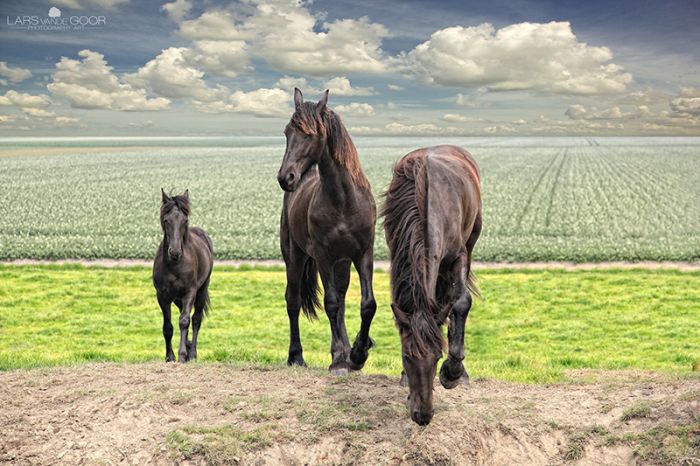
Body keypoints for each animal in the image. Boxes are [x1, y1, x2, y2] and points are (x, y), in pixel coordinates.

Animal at [154, 189, 215, 364]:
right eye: (166, 220)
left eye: (185, 220)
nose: (175, 252)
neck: (174, 265)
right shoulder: (162, 296)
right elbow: (168, 327)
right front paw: (169, 356)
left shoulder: (190, 292)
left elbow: (184, 321)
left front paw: (182, 355)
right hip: (177, 299)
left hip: (201, 291)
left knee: (195, 320)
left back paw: (192, 353)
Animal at [278, 89, 380, 376]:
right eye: (287, 132)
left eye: (310, 134)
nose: (285, 177)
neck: (343, 199)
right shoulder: (323, 256)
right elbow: (330, 303)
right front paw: (339, 360)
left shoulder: (363, 254)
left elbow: (366, 304)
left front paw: (358, 354)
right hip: (295, 256)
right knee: (293, 301)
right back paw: (297, 356)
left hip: (342, 263)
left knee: (343, 301)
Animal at [382, 146, 482, 426]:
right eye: (406, 356)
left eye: (437, 357)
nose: (423, 415)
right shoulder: (397, 256)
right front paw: (405, 380)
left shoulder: (458, 256)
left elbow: (461, 302)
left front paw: (452, 372)